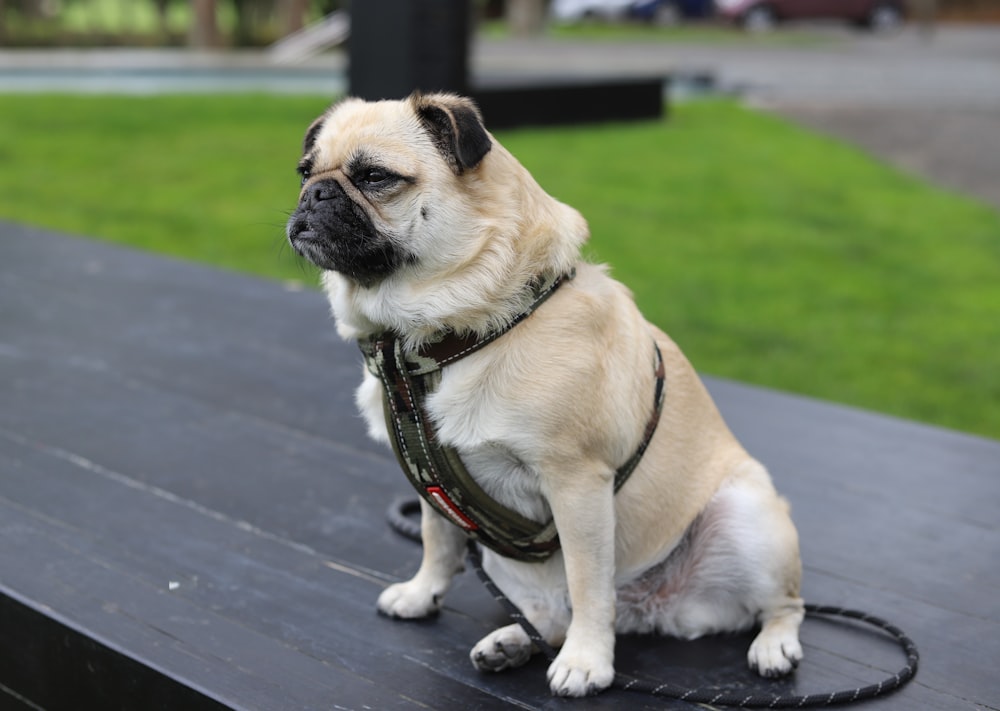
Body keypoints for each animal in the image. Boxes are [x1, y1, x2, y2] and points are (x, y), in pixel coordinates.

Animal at [286, 92, 800, 700]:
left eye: (375, 177)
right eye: (304, 173)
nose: (314, 194)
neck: (447, 333)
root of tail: (651, 610)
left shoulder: (577, 485)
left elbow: (588, 583)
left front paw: (588, 660)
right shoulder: (430, 480)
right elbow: (438, 539)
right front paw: (420, 592)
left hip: (749, 519)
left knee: (780, 604)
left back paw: (773, 646)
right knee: (550, 617)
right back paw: (510, 644)